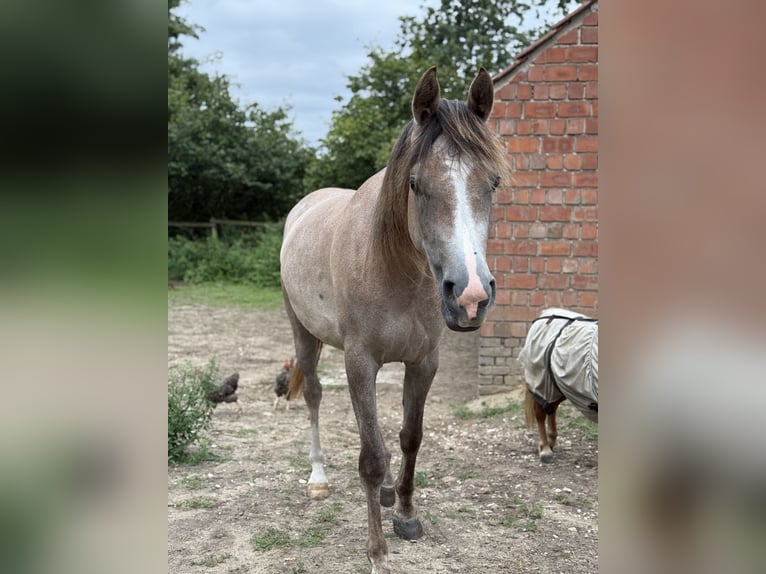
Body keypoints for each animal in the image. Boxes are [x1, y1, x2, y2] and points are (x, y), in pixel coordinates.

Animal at [279, 67, 507, 574]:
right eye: (416, 184)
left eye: (494, 183)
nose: (471, 296)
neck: (393, 265)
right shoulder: (360, 362)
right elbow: (371, 457)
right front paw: (378, 553)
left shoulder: (423, 363)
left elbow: (408, 438)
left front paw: (404, 513)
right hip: (304, 333)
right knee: (315, 396)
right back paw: (318, 478)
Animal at [519, 308, 599, 463]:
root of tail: (546, 314)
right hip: (543, 384)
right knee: (541, 412)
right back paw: (545, 449)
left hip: (560, 386)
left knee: (551, 407)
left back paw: (550, 441)